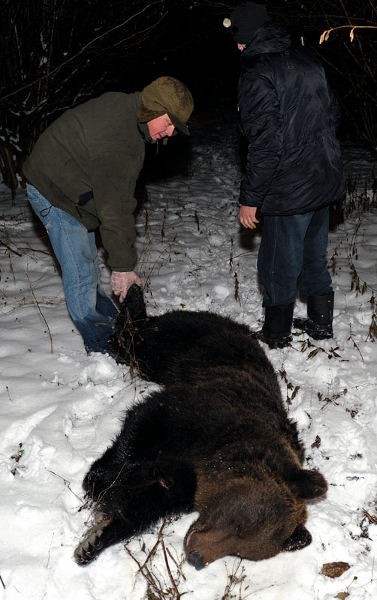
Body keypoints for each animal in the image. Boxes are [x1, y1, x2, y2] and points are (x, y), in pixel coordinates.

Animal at [74, 284, 326, 568]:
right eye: (239, 524)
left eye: (240, 552)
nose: (196, 557)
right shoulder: (196, 416)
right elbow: (141, 425)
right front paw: (99, 479)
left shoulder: (185, 483)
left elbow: (148, 501)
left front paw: (94, 540)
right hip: (170, 344)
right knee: (131, 338)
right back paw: (133, 296)